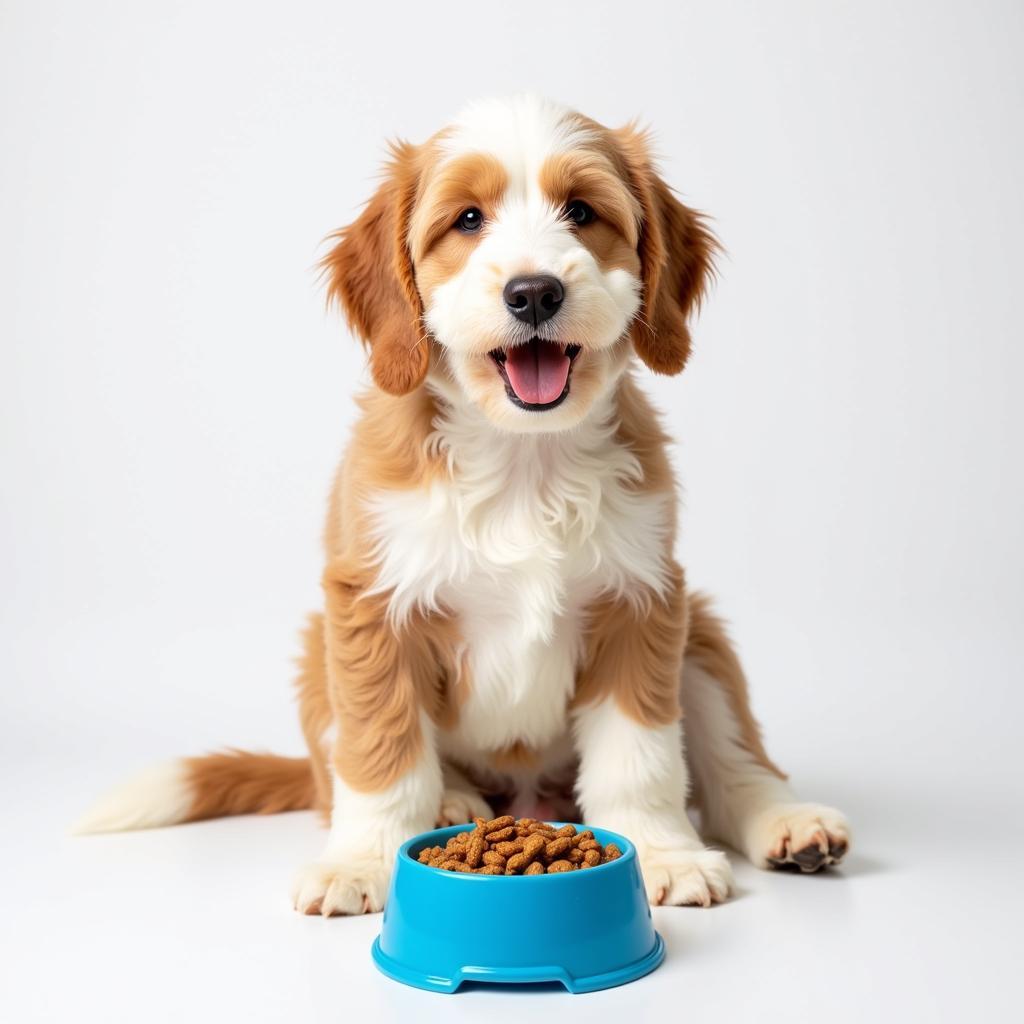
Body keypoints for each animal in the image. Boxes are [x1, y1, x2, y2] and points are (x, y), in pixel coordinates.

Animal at [75, 96, 847, 913]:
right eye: (468, 219)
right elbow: (383, 755)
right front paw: (363, 863)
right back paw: (451, 802)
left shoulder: (644, 601)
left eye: (581, 211)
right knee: (356, 772)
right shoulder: (370, 609)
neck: (521, 461)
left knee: (736, 765)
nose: (534, 292)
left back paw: (790, 824)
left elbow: (640, 755)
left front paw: (663, 851)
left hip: (700, 638)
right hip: (318, 662)